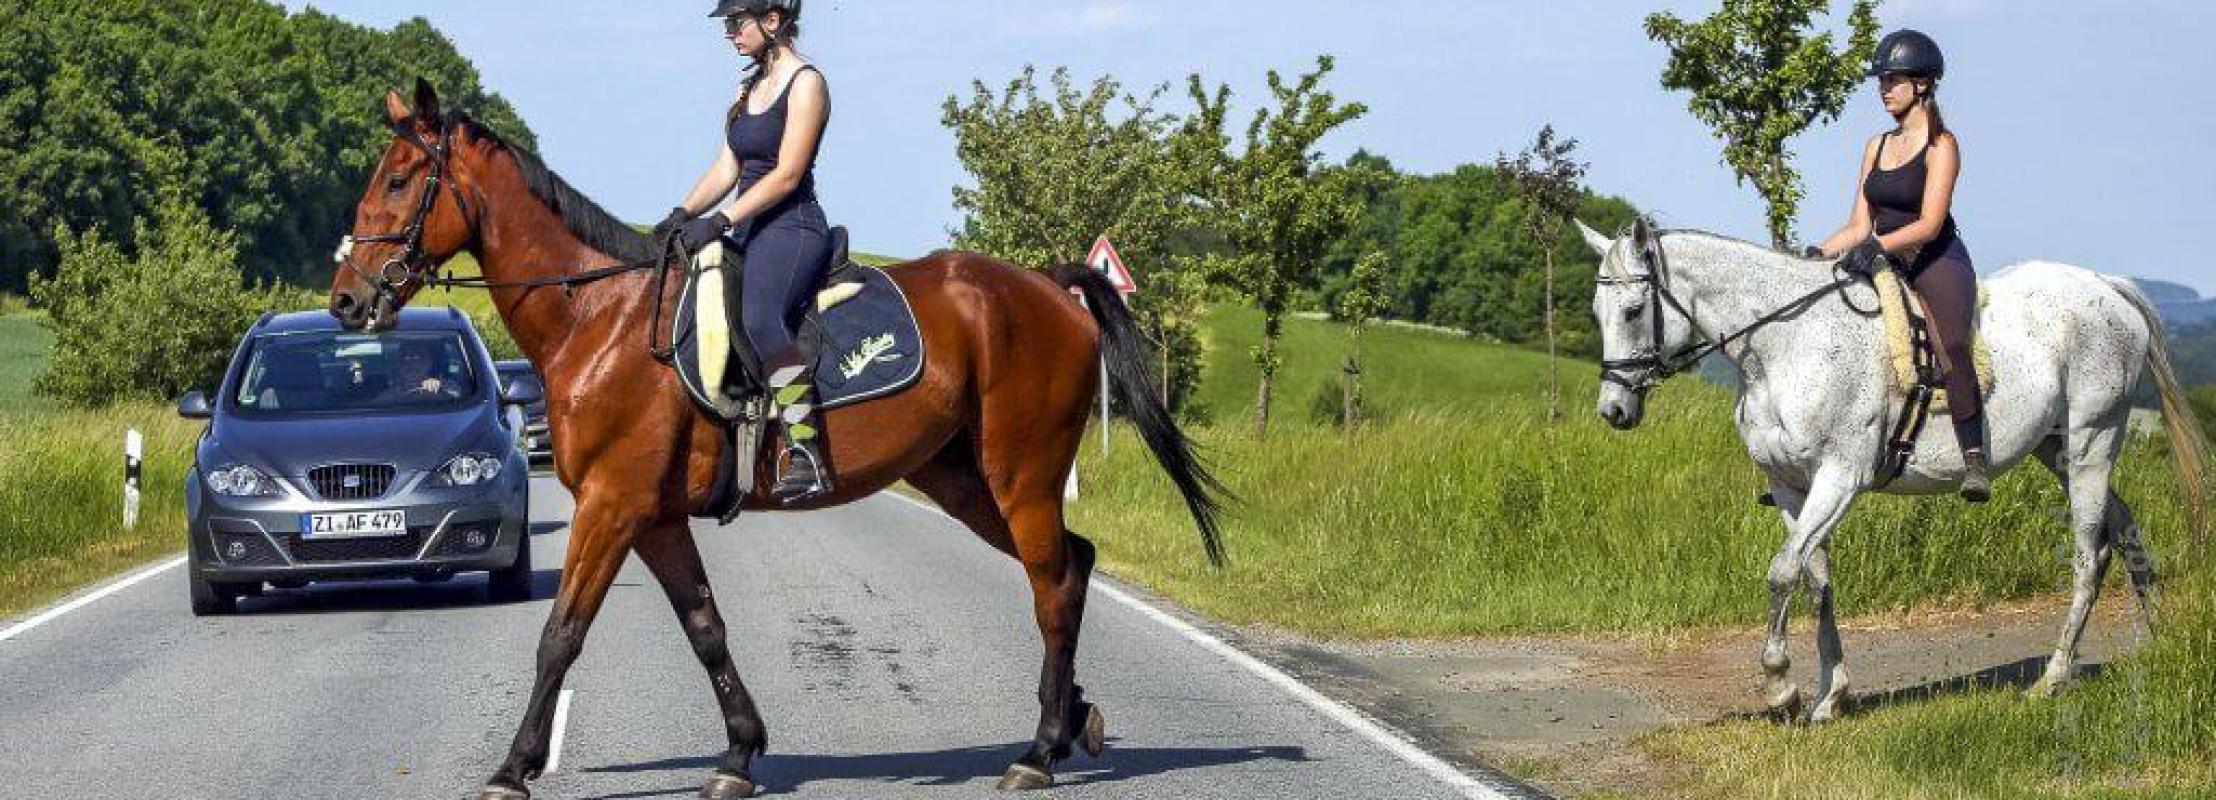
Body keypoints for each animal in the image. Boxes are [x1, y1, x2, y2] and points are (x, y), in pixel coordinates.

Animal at [330, 82, 1232, 797]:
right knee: (1071, 566)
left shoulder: (612, 506)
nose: (346, 300)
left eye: (400, 180)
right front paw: (739, 753)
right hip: (962, 480)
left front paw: (513, 767)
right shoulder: (654, 516)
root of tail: (1046, 287)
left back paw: (1038, 752)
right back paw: (1075, 721)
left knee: (1050, 584)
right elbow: (705, 626)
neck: (599, 318)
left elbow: (561, 635)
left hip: (1021, 474)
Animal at [1568, 216, 2207, 718]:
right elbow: (1816, 580)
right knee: (2123, 529)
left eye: (1632, 310)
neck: (1784, 348)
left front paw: (1780, 688)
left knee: (2088, 554)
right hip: (2058, 452)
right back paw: (2160, 642)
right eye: (1598, 311)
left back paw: (2052, 678)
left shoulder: (1839, 477)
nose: (1614, 410)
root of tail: (2106, 286)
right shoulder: (1792, 487)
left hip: (2091, 441)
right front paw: (1830, 696)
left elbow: (1782, 572)